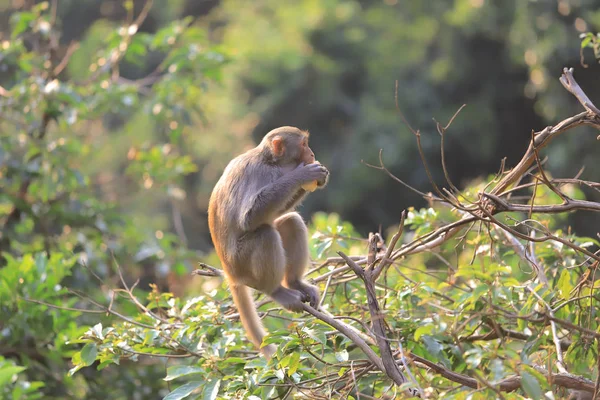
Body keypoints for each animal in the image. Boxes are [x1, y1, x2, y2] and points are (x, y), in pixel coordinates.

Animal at [209, 126, 330, 358]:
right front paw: (302, 174)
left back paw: (294, 282)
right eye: (303, 145)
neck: (270, 161)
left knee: (291, 222)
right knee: (265, 234)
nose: (311, 154)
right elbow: (249, 217)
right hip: (241, 263)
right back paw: (276, 291)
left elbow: (275, 215)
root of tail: (230, 274)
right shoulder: (262, 173)